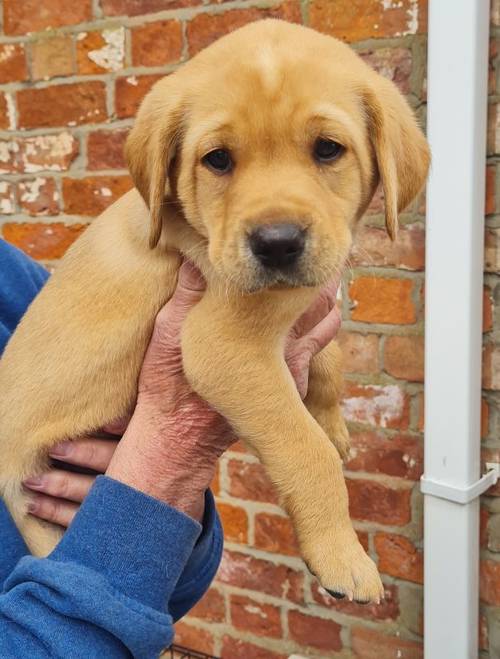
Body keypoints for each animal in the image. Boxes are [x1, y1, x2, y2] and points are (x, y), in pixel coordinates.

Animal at [0, 18, 428, 604]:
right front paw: (342, 556)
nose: (277, 243)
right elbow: (306, 450)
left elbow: (329, 362)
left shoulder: (301, 305)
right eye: (218, 159)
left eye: (328, 149)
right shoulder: (222, 344)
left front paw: (332, 421)